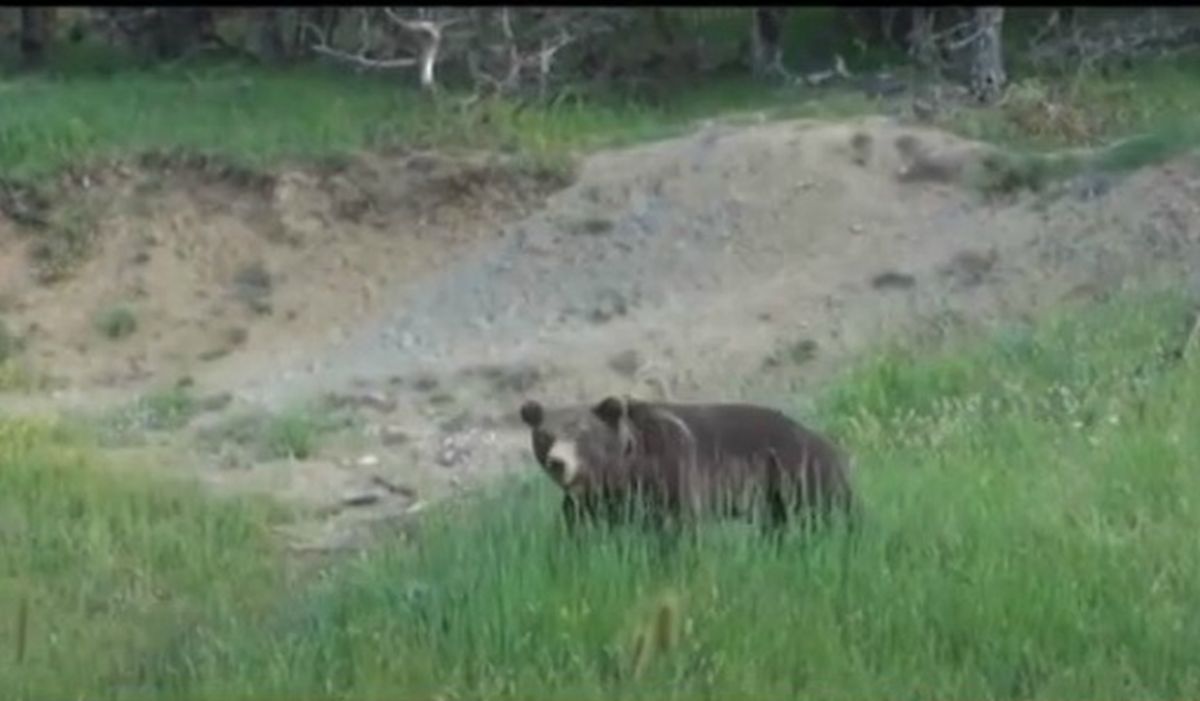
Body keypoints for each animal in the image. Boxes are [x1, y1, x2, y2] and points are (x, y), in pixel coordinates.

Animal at [516, 393, 854, 537]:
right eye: (545, 435)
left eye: (582, 433)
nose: (558, 462)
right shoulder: (594, 501)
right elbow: (575, 530)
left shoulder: (672, 467)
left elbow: (680, 523)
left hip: (801, 474)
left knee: (827, 514)